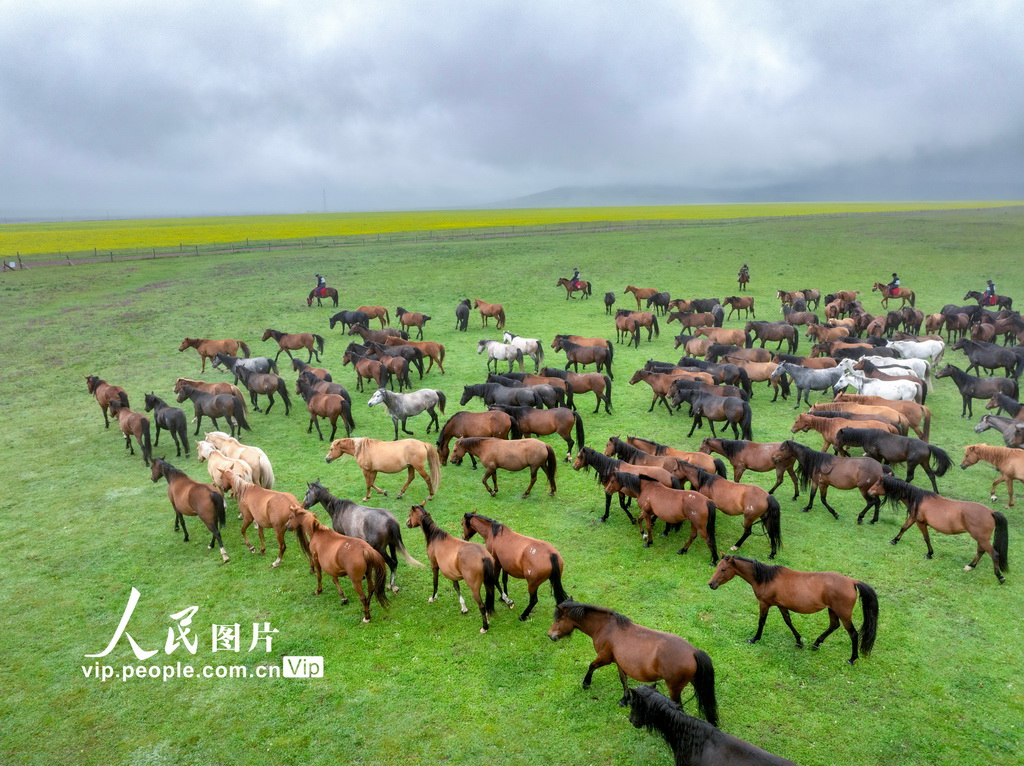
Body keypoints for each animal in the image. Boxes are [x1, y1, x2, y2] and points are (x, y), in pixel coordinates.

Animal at [406, 504, 496, 633]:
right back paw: (488, 620)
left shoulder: (434, 566)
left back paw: (484, 627)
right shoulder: (452, 573)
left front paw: (433, 597)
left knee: (482, 606)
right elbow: (456, 587)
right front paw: (463, 607)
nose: (407, 523)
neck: (436, 537)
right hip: (488, 583)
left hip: (474, 588)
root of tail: (483, 555)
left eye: (410, 514)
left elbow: (435, 582)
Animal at [547, 601, 718, 720]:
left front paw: (586, 683)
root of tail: (693, 652)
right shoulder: (620, 663)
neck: (606, 627)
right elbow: (623, 680)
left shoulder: (604, 658)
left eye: (558, 620)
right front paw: (624, 699)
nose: (550, 635)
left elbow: (591, 666)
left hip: (674, 689)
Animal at [708, 556, 878, 665]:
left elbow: (761, 622)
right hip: (832, 610)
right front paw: (799, 641)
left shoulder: (764, 604)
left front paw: (754, 638)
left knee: (853, 634)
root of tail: (852, 581)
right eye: (717, 566)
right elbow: (788, 621)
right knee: (833, 626)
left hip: (843, 614)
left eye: (723, 569)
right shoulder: (781, 605)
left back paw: (852, 658)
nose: (711, 584)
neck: (766, 579)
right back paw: (816, 644)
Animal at [868, 475, 1008, 584]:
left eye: (877, 483)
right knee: (981, 551)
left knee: (994, 554)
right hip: (980, 538)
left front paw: (929, 553)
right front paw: (894, 540)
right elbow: (904, 528)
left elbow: (926, 538)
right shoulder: (913, 518)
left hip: (981, 538)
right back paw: (970, 566)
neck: (918, 498)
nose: (869, 492)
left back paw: (999, 577)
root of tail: (991, 512)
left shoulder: (921, 523)